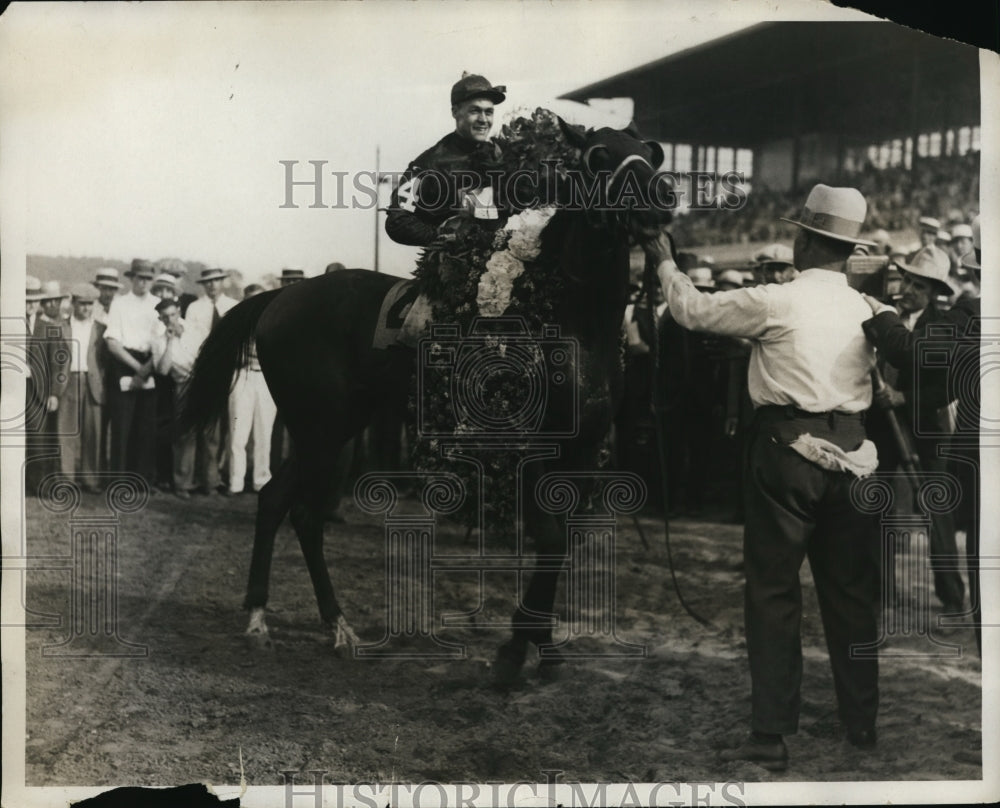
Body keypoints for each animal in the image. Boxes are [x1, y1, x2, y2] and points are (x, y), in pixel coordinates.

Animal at [186, 123, 672, 684]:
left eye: (652, 154)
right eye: (597, 157)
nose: (662, 199)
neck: (569, 319)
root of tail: (279, 298)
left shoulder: (582, 451)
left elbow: (562, 545)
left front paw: (544, 649)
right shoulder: (527, 450)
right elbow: (549, 542)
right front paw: (514, 651)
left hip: (338, 426)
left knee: (287, 506)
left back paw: (320, 623)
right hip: (319, 426)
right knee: (289, 507)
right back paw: (276, 621)